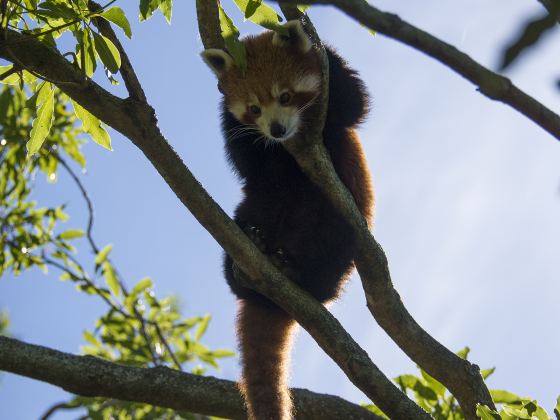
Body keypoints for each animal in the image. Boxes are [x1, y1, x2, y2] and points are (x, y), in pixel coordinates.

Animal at [200, 20, 372, 420]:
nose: (277, 130)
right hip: (256, 207)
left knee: (331, 241)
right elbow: (245, 160)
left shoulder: (337, 120)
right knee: (247, 217)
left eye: (286, 96)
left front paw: (315, 39)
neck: (288, 151)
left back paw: (300, 274)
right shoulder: (257, 158)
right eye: (253, 108)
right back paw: (249, 259)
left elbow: (354, 104)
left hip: (338, 225)